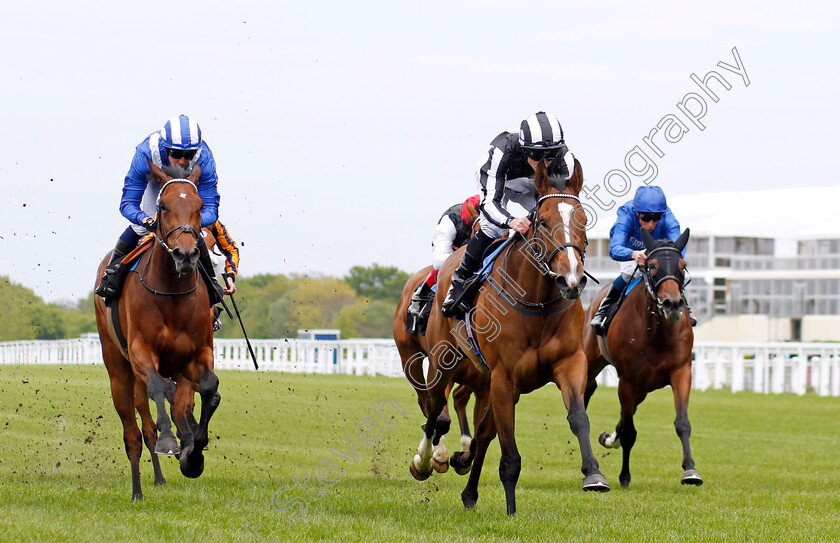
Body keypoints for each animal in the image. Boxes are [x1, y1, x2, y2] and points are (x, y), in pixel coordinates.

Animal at [94, 163, 220, 502]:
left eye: (199, 206)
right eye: (163, 207)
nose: (186, 255)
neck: (172, 292)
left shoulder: (196, 354)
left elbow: (208, 388)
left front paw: (194, 456)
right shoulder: (142, 351)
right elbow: (160, 390)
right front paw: (171, 440)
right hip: (117, 370)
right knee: (134, 433)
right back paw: (138, 489)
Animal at [392, 266, 488, 474]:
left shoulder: (486, 386)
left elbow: (481, 432)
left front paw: (462, 459)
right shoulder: (443, 374)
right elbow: (440, 418)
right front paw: (434, 457)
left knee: (458, 398)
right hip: (410, 359)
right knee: (426, 402)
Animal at [414, 158, 612, 516]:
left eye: (584, 219)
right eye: (543, 221)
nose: (571, 279)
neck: (537, 305)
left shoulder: (569, 364)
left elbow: (578, 417)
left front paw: (593, 474)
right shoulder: (505, 379)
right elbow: (509, 453)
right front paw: (510, 509)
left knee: (482, 432)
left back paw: (469, 491)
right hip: (443, 362)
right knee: (434, 410)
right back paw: (424, 462)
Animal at [580, 227, 700, 490]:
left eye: (683, 265)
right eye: (652, 265)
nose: (673, 304)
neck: (656, 329)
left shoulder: (682, 371)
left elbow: (683, 423)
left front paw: (691, 470)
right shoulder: (627, 380)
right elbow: (629, 433)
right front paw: (624, 476)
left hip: (644, 388)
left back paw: (609, 438)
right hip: (593, 361)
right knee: (587, 391)